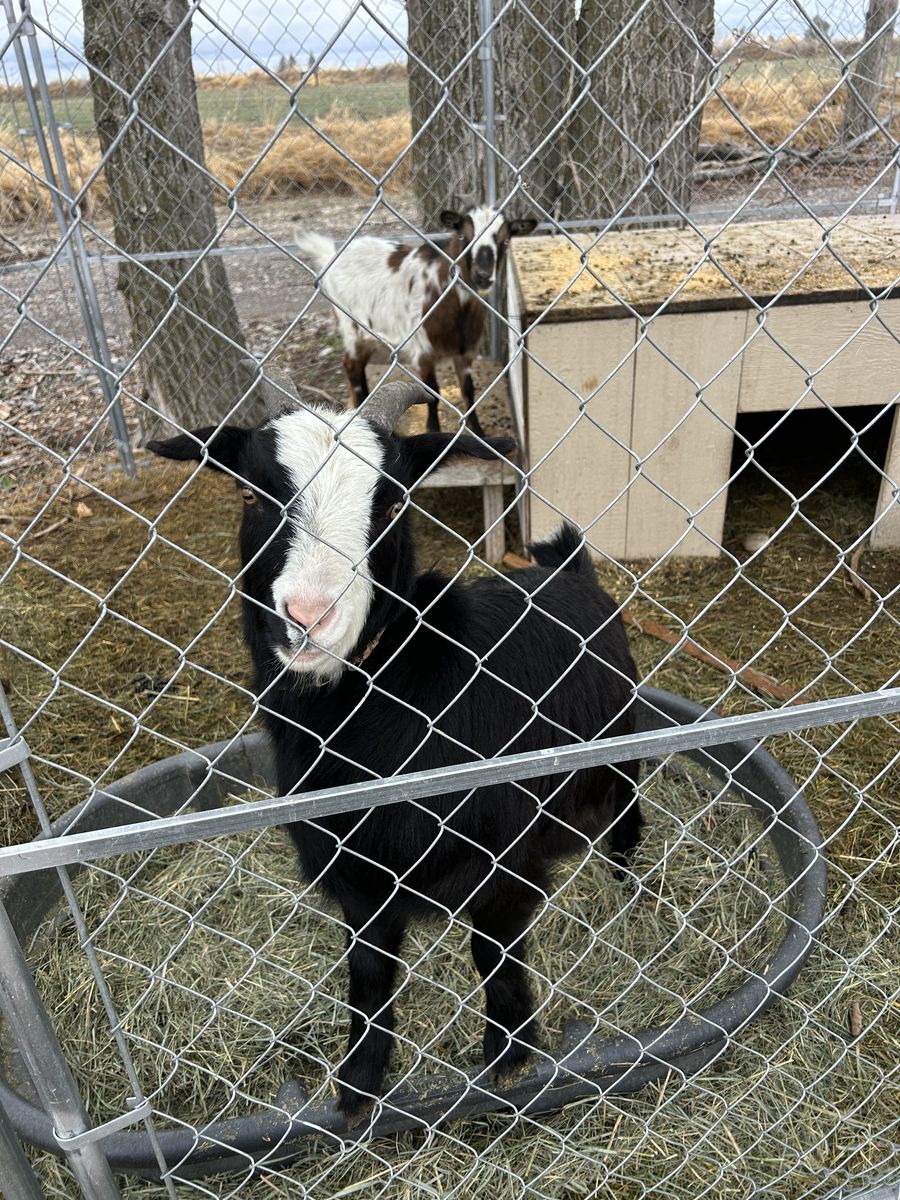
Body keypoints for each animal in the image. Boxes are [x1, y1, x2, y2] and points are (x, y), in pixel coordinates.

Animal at [148, 377, 641, 1119]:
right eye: (250, 496)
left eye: (391, 502)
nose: (308, 617)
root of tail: (569, 569)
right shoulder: (357, 875)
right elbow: (370, 972)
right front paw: (358, 1083)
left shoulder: (505, 857)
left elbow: (493, 953)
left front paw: (507, 1056)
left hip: (623, 739)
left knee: (627, 808)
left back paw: (629, 882)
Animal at [296, 206, 537, 438]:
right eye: (463, 236)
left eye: (505, 240)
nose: (483, 276)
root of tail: (331, 254)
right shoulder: (423, 351)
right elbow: (432, 392)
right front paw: (434, 428)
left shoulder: (465, 352)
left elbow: (468, 390)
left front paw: (479, 432)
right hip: (351, 327)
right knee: (351, 366)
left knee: (358, 366)